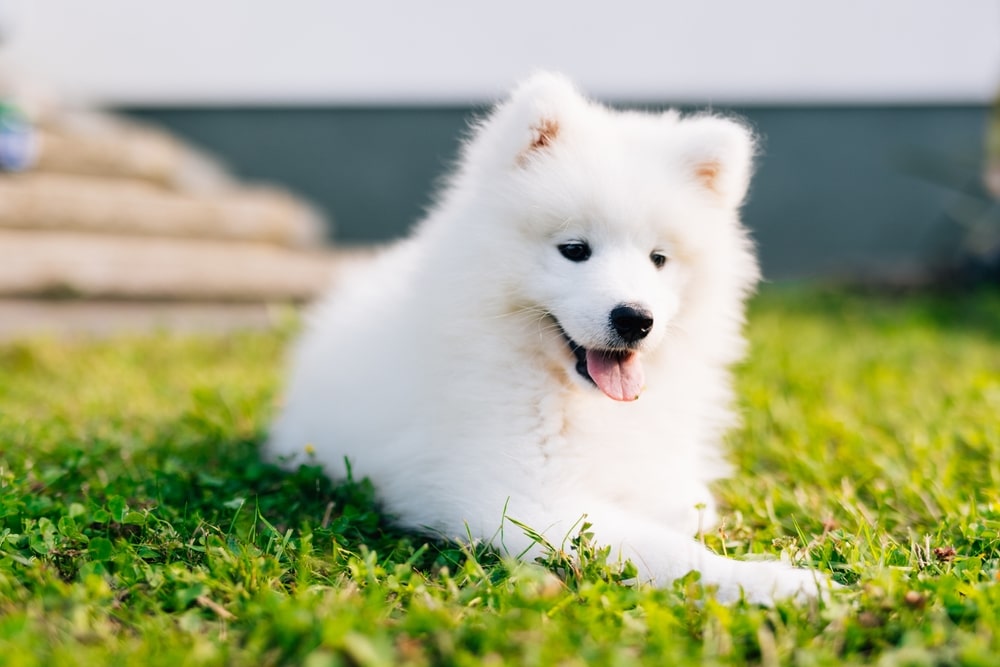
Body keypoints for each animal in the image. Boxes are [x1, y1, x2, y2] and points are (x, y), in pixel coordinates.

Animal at [270, 73, 832, 604]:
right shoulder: (524, 500)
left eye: (659, 259)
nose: (636, 319)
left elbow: (685, 506)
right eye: (574, 249)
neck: (570, 398)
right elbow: (667, 551)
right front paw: (778, 584)